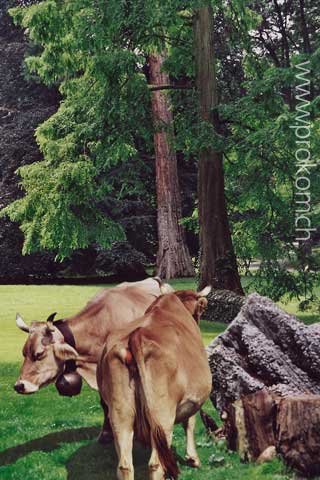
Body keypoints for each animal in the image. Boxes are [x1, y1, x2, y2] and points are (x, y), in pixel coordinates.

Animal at [97, 286, 212, 478]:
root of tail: (136, 336)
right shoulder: (191, 399)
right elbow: (189, 423)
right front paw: (193, 458)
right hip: (162, 412)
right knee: (156, 464)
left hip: (121, 411)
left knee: (125, 464)